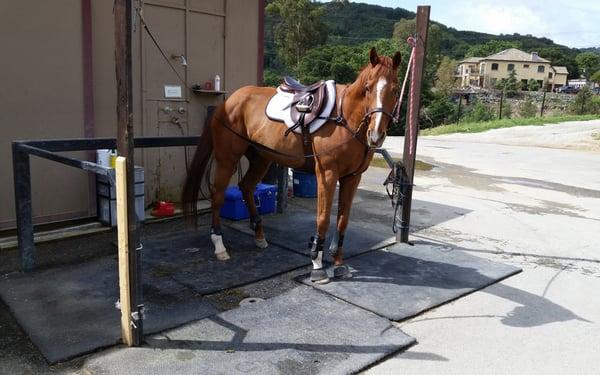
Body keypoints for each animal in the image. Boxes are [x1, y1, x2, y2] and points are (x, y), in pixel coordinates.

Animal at [180, 47, 400, 284]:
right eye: (368, 88)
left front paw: (339, 264)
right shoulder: (327, 174)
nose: (376, 136)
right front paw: (317, 265)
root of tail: (227, 103)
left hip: (262, 158)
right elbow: (323, 219)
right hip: (227, 158)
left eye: (395, 90)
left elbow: (343, 220)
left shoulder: (352, 177)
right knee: (218, 195)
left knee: (246, 187)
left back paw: (259, 236)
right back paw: (219, 246)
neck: (344, 118)